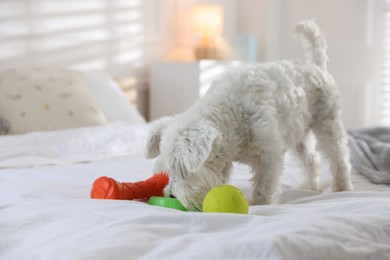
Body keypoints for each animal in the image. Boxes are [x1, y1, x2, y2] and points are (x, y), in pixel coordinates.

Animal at [145, 20, 354, 211]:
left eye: (182, 168)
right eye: (165, 170)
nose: (170, 196)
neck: (232, 115)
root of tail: (315, 65)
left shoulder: (269, 154)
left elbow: (265, 184)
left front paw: (261, 204)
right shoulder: (226, 159)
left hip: (328, 124)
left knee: (339, 157)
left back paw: (342, 186)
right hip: (298, 133)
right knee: (311, 159)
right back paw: (310, 185)